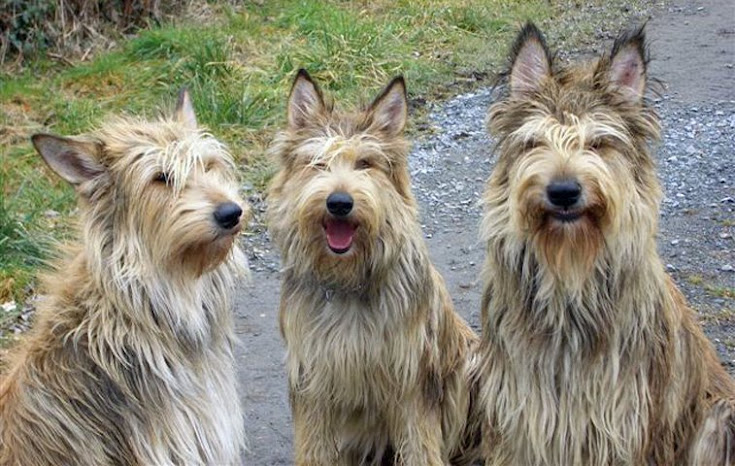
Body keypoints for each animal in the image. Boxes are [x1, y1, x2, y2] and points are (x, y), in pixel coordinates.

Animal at [478, 23, 735, 464]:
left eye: (598, 143)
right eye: (535, 143)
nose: (564, 191)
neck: (569, 273)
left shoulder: (622, 422)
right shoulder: (522, 415)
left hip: (721, 414)